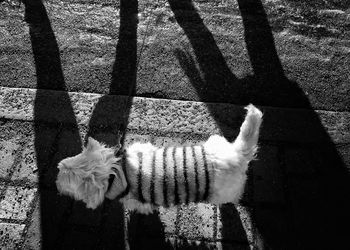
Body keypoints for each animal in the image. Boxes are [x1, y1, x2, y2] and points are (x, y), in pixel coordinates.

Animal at [55, 104, 262, 214]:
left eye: (63, 178)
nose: (55, 182)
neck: (116, 171)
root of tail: (237, 153)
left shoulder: (139, 201)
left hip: (223, 192)